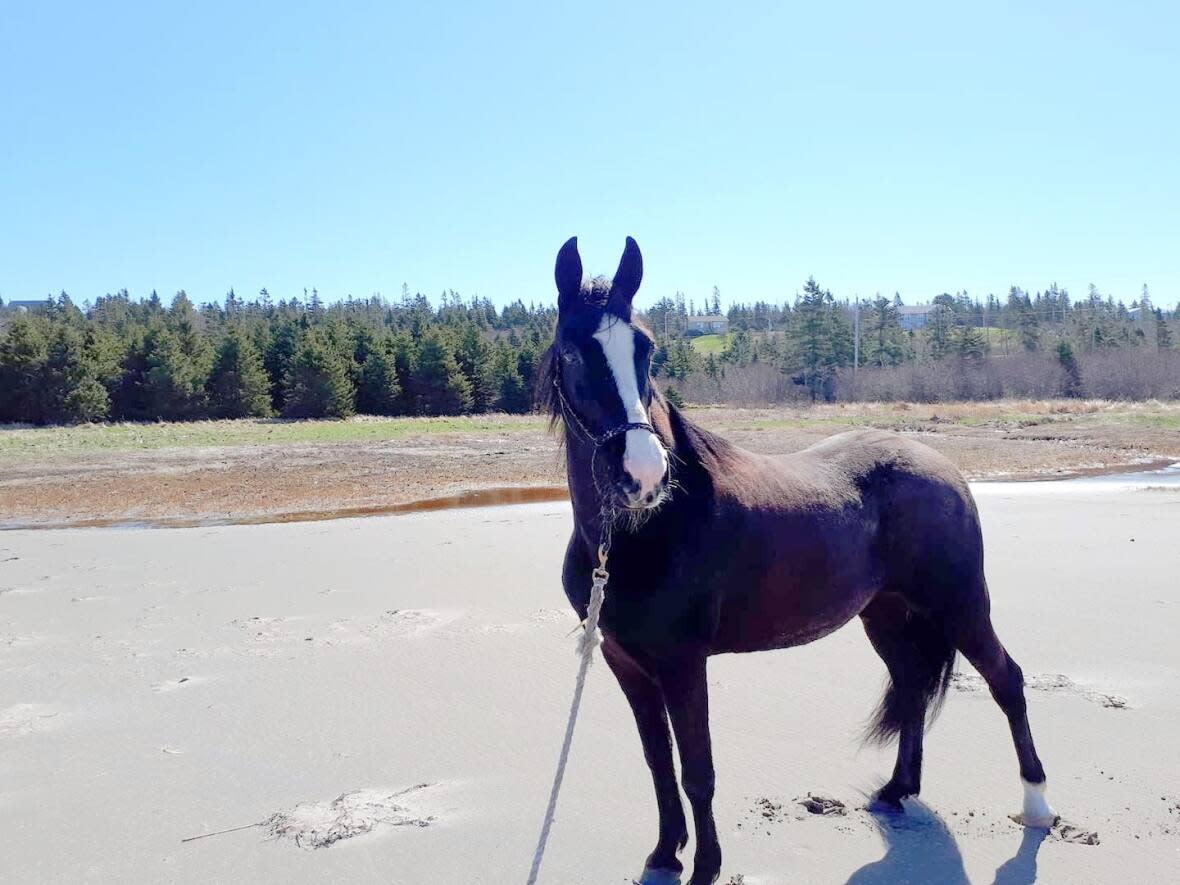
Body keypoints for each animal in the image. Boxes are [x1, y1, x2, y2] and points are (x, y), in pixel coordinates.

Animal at [542, 235, 1062, 885]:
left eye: (646, 348)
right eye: (572, 352)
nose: (643, 475)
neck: (636, 535)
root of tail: (940, 466)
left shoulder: (684, 663)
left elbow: (698, 771)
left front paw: (706, 866)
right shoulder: (626, 662)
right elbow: (658, 764)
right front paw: (664, 854)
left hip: (962, 606)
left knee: (1006, 680)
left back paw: (1037, 807)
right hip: (887, 615)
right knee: (912, 686)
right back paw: (897, 791)